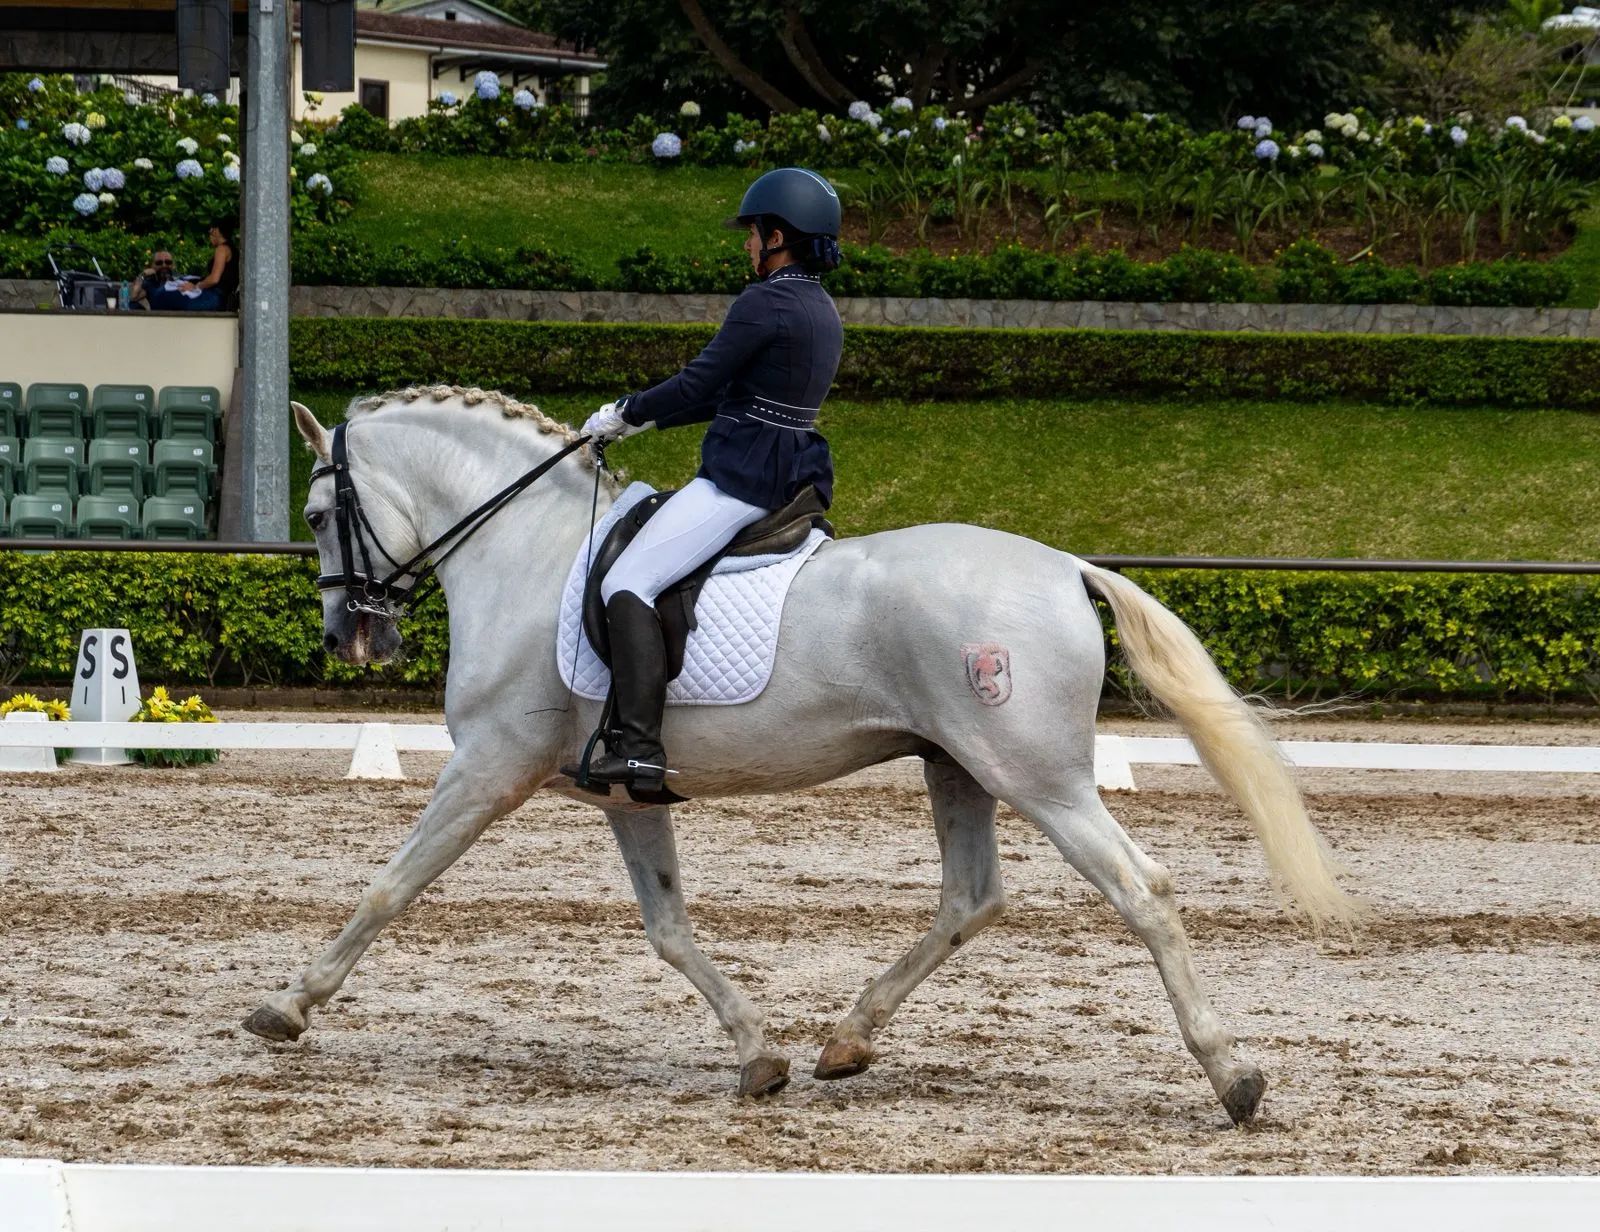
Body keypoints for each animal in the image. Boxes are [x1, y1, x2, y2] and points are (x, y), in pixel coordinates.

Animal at [247, 385, 1359, 1125]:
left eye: (317, 516)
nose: (349, 638)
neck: (528, 551)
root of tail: (1062, 567)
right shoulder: (625, 793)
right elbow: (669, 929)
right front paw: (758, 1052)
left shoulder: (489, 765)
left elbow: (391, 885)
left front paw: (288, 1005)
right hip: (957, 767)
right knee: (971, 897)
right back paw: (848, 1039)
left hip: (1038, 777)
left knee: (1142, 888)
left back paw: (1233, 1076)